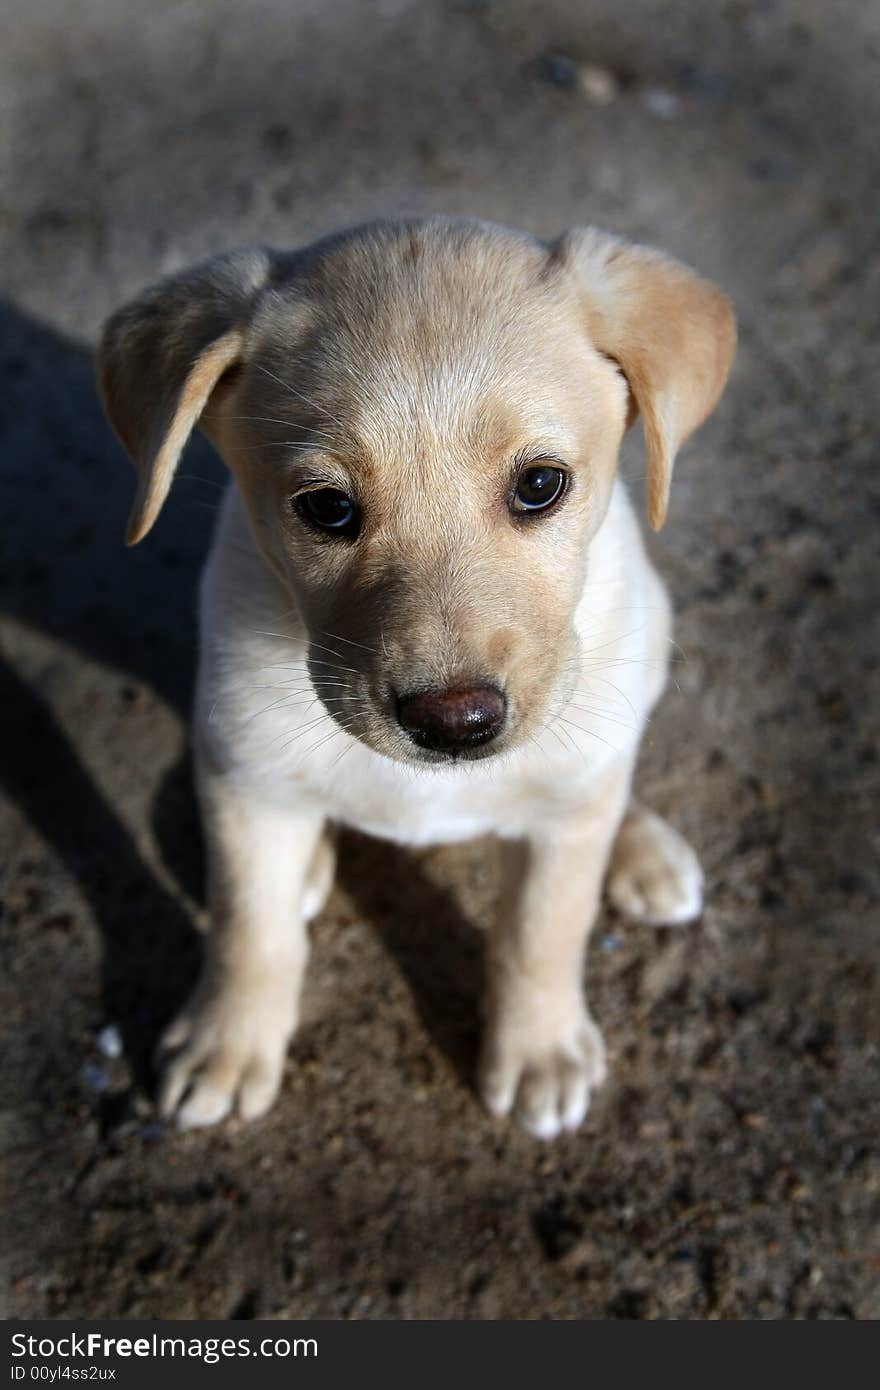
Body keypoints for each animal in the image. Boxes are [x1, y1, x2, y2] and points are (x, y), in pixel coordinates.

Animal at [98, 219, 734, 1139]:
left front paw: (539, 1050)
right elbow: (250, 927)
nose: (454, 722)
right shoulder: (243, 780)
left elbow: (543, 929)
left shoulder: (562, 820)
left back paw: (640, 847)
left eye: (540, 485)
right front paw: (226, 1041)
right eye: (326, 508)